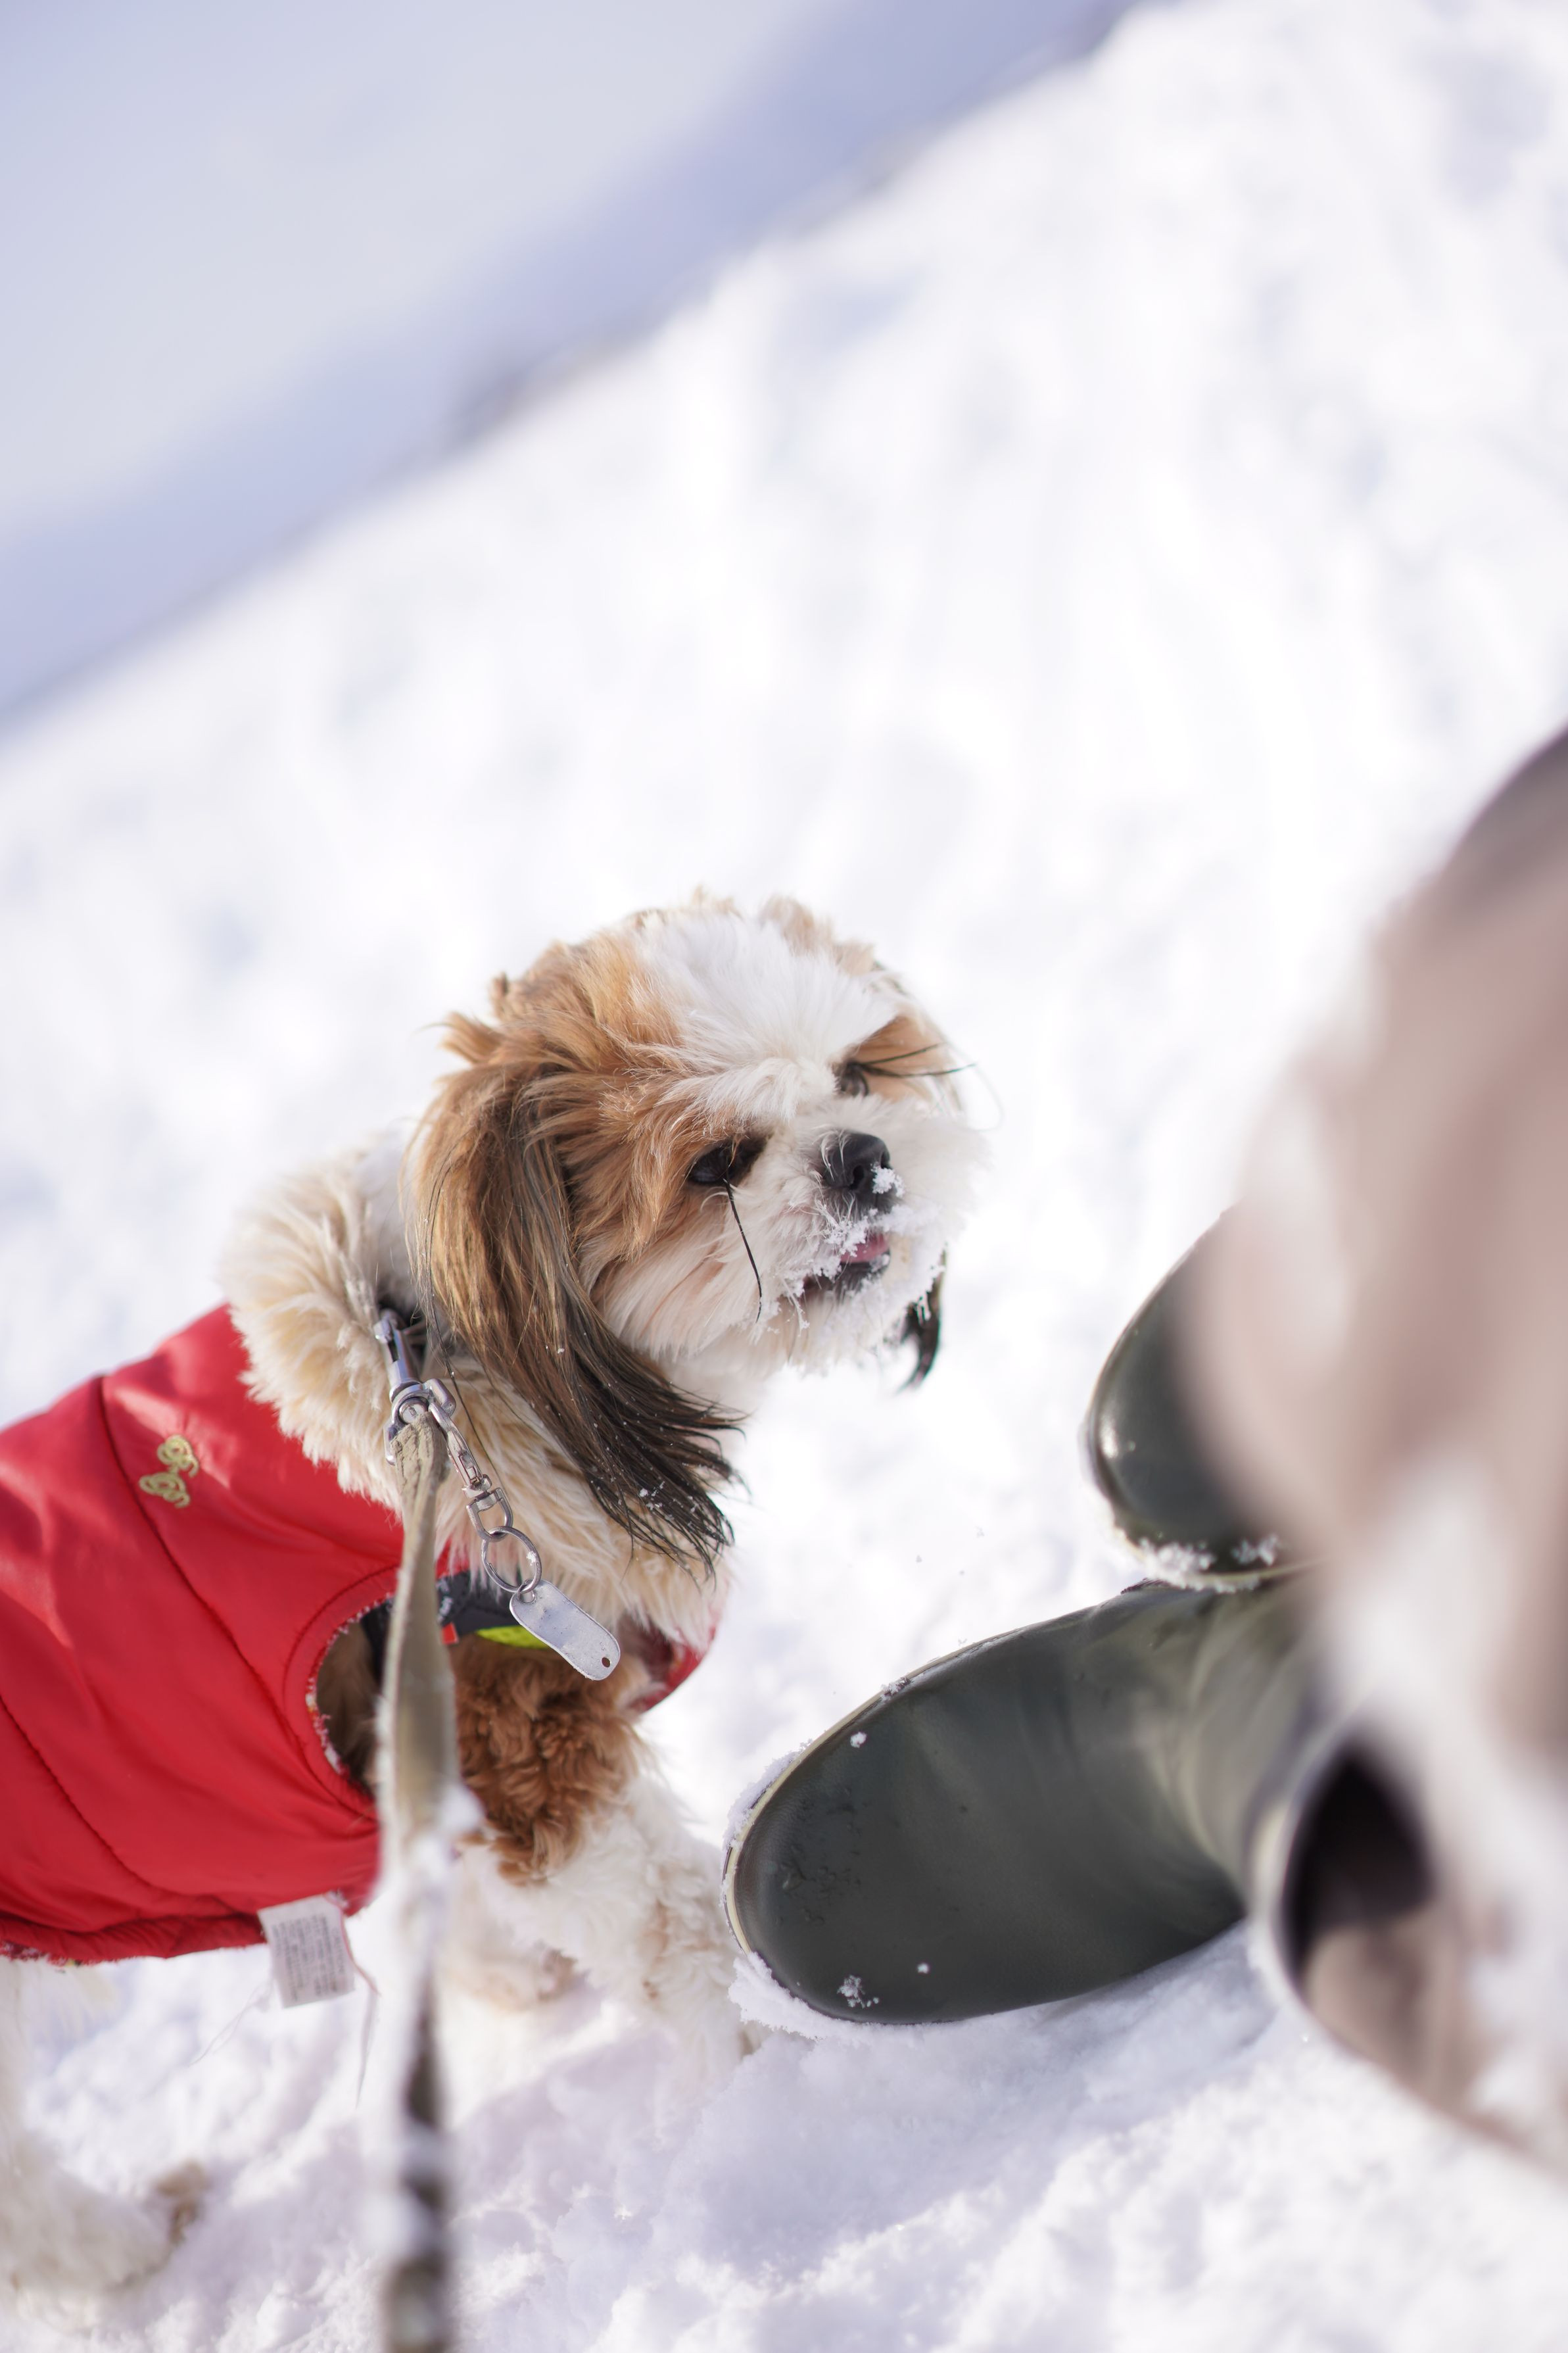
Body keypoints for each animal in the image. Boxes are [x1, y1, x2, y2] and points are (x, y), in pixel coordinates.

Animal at [0, 894, 979, 2304]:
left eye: (859, 1071)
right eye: (719, 1162)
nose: (860, 1155)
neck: (456, 1375)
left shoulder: (402, 1736)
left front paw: (487, 1966)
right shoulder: (520, 1719)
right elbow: (668, 1916)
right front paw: (760, 2047)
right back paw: (123, 2247)